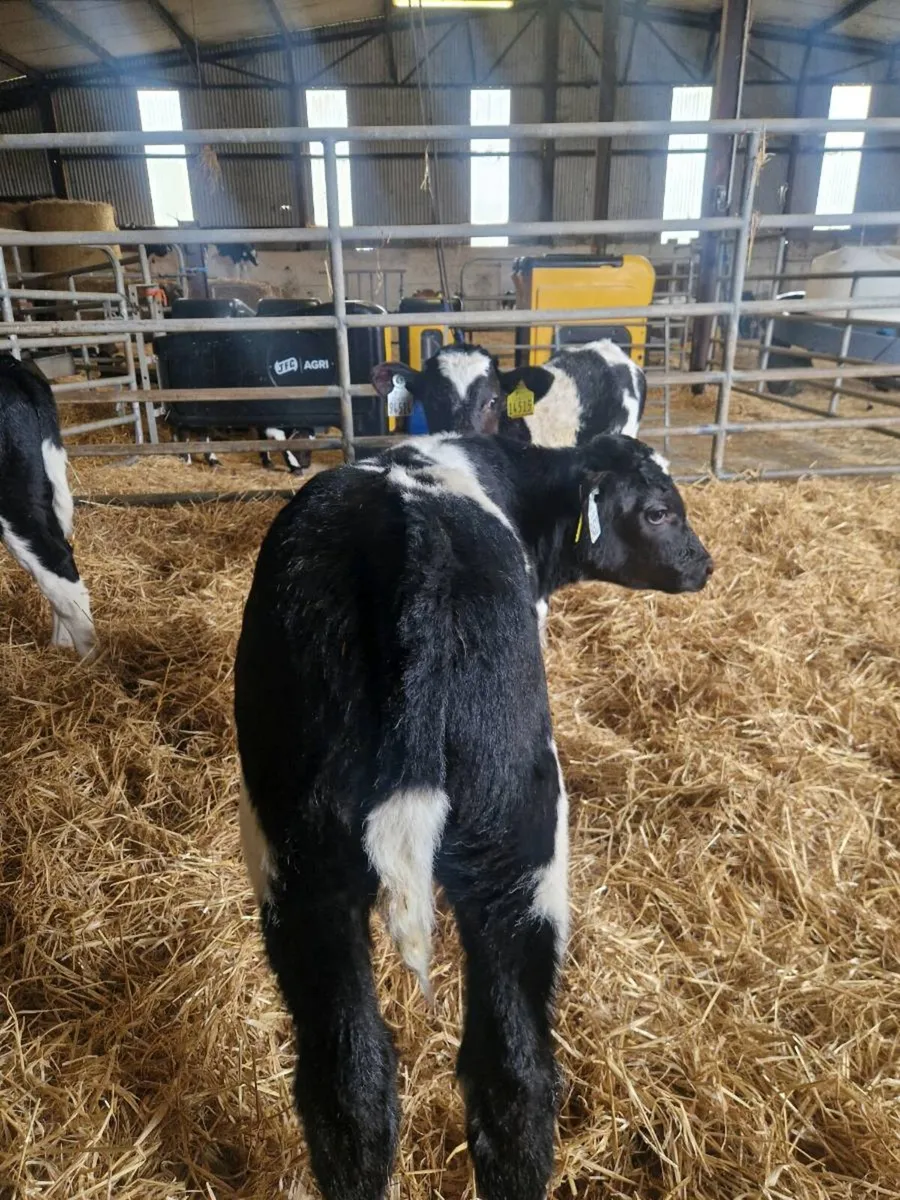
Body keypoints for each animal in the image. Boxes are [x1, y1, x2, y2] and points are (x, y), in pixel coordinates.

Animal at [234, 432, 712, 1200]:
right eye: (660, 511)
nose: (705, 564)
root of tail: (415, 553)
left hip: (303, 863)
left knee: (351, 1079)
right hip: (521, 851)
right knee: (515, 1079)